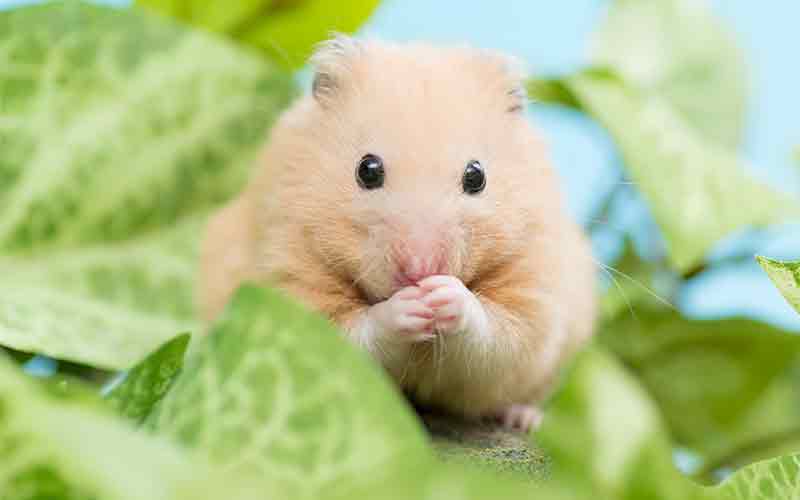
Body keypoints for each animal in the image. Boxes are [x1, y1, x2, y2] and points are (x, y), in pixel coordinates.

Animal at [202, 36, 592, 434]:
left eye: (476, 176)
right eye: (367, 170)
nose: (421, 270)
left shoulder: (532, 289)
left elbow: (497, 332)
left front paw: (444, 295)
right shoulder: (292, 270)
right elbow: (359, 330)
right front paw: (409, 306)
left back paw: (523, 419)